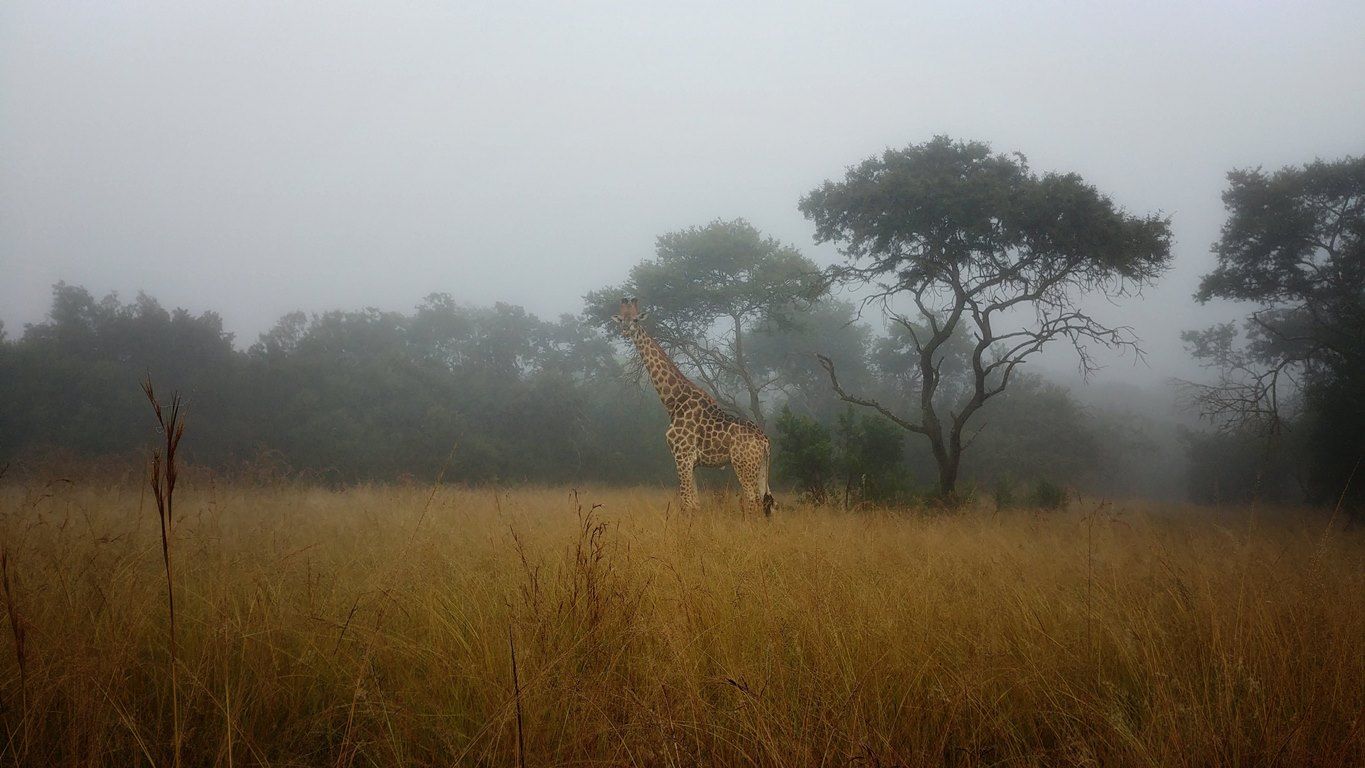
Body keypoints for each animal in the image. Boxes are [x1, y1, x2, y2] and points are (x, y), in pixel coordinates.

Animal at [614, 298, 775, 515]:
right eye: (621, 319)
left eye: (636, 320)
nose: (625, 330)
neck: (673, 401)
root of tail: (764, 441)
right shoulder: (692, 462)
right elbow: (695, 503)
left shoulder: (682, 456)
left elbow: (686, 503)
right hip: (760, 467)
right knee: (769, 503)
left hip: (744, 464)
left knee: (754, 502)